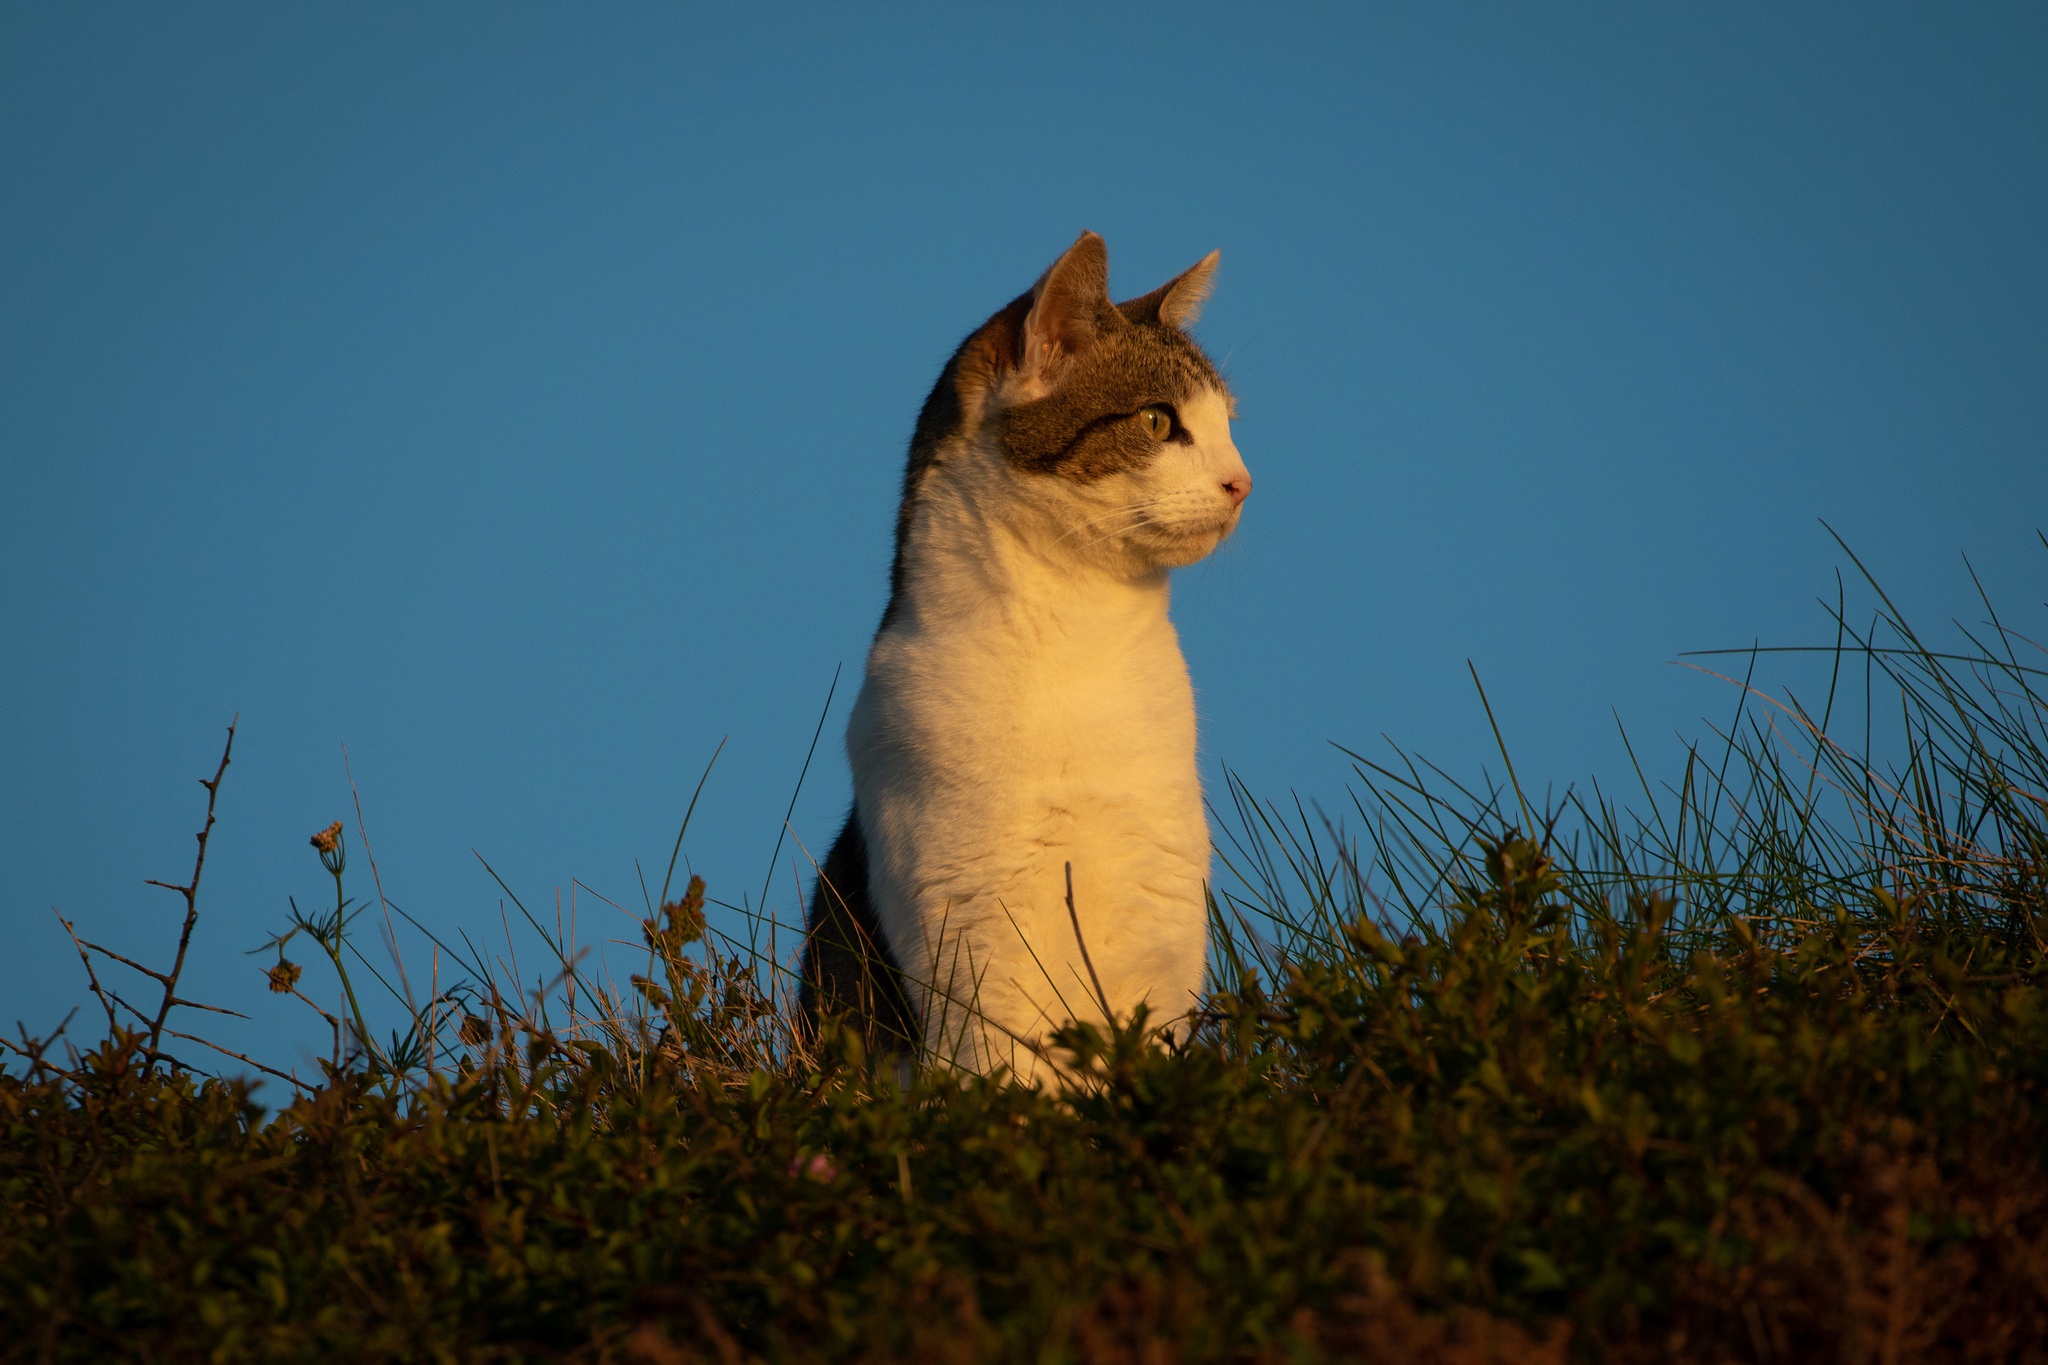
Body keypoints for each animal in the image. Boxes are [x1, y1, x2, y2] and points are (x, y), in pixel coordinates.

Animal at [798, 235, 1245, 1088]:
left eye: (1230, 425)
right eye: (1158, 419)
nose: (1243, 482)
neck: (1075, 650)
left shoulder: (1162, 914)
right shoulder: (970, 933)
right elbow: (1007, 1081)